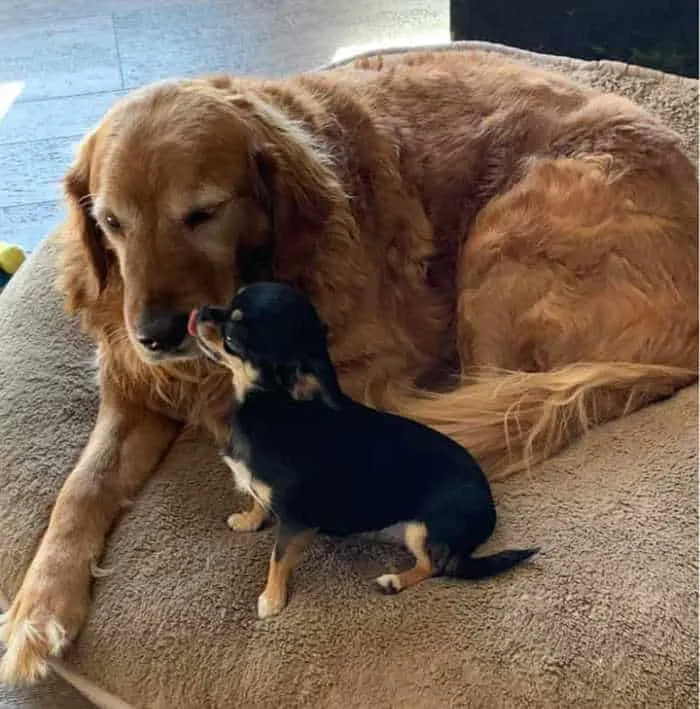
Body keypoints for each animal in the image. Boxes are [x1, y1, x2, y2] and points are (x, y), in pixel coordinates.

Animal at [189, 280, 540, 616]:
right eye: (228, 301)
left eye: (232, 336)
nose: (199, 311)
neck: (274, 403)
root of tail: (490, 512)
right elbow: (258, 501)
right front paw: (248, 520)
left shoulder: (294, 520)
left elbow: (278, 558)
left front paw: (272, 599)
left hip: (422, 529)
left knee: (437, 567)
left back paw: (394, 581)